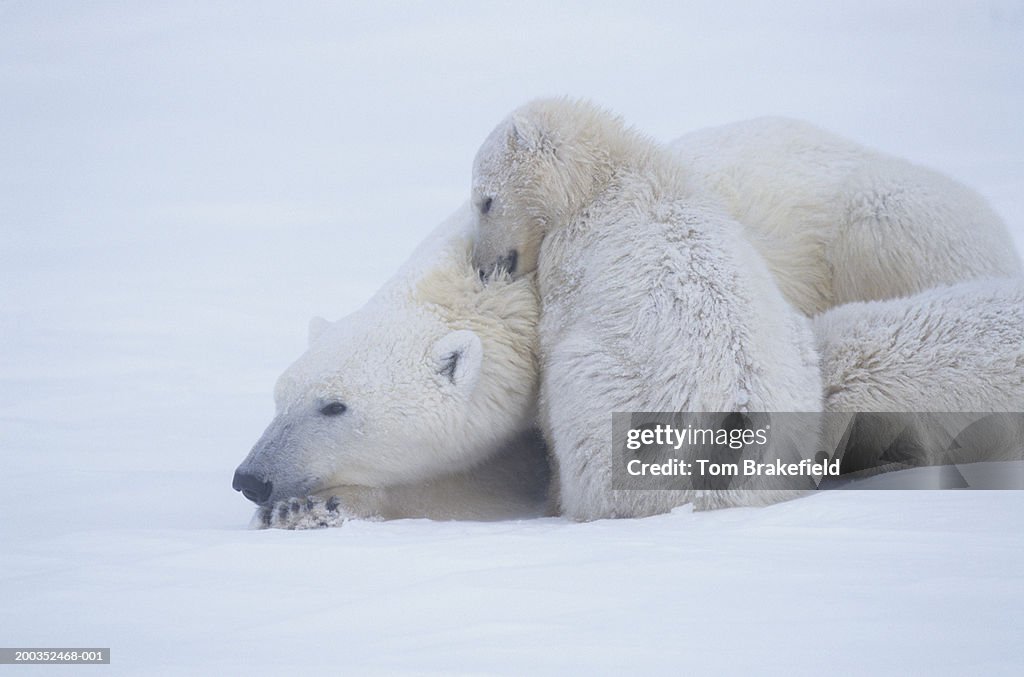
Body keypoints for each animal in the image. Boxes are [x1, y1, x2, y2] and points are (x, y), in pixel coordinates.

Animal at [471, 97, 823, 518]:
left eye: (485, 201)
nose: (480, 267)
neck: (602, 181)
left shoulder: (572, 260)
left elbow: (552, 347)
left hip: (627, 408)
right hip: (800, 384)